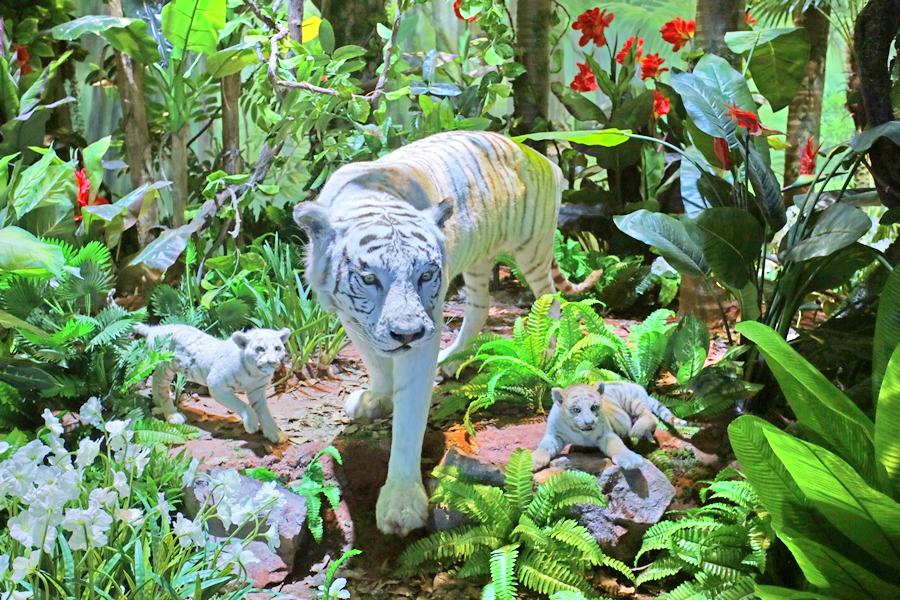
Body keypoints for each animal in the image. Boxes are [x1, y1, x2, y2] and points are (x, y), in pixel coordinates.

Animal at [296, 131, 600, 536]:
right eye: (369, 278)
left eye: (425, 274)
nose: (406, 333)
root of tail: (534, 152)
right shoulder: (347, 313)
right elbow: (375, 360)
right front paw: (377, 398)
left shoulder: (424, 329)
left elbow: (409, 418)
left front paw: (402, 504)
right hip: (479, 258)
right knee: (480, 307)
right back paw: (453, 359)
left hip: (531, 250)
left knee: (551, 302)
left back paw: (550, 353)